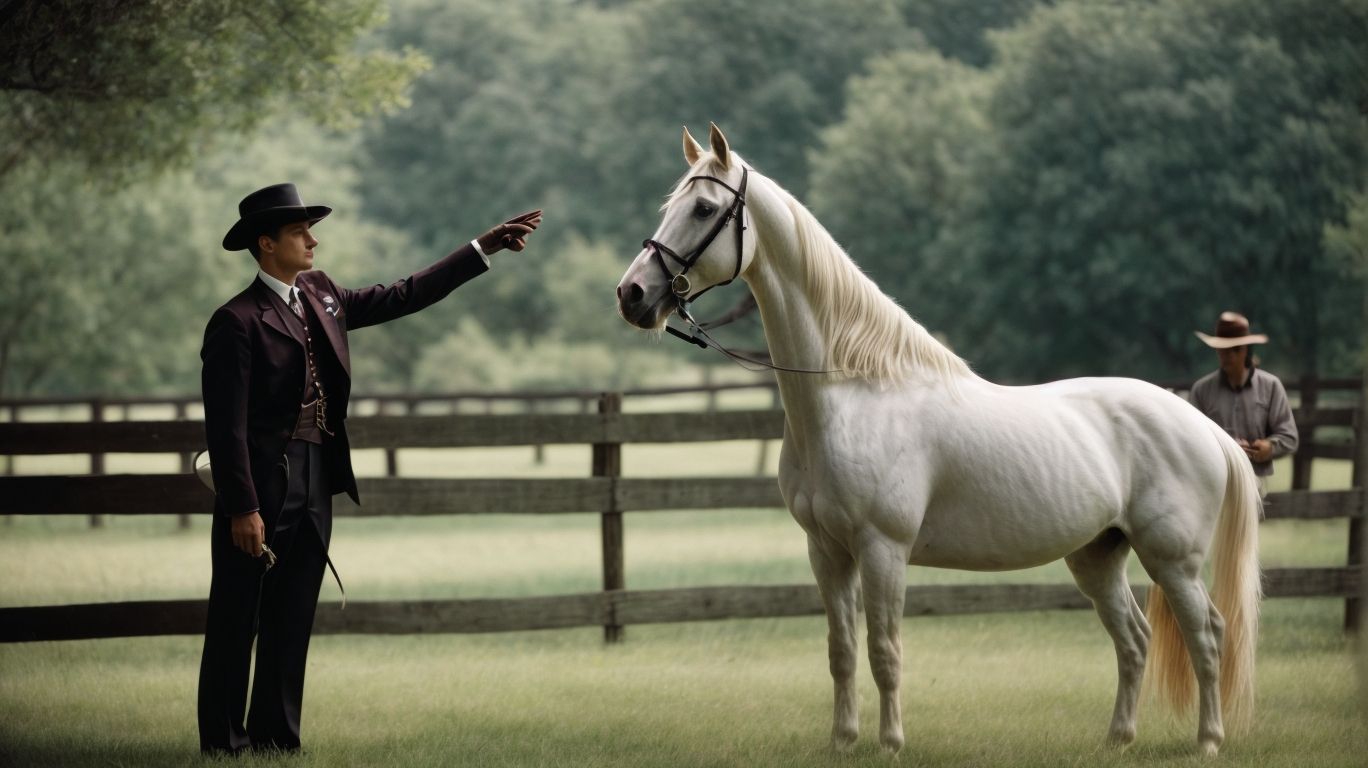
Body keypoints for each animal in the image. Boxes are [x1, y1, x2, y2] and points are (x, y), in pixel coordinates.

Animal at [615, 124, 1260, 757]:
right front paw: (843, 741)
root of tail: (1202, 426)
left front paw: (890, 744)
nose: (633, 295)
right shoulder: (827, 552)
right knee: (1135, 639)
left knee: (1207, 636)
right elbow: (842, 652)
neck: (853, 394)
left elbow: (885, 652)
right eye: (671, 205)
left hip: (1172, 559)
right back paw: (1118, 739)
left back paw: (1208, 741)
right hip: (1098, 556)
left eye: (703, 208)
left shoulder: (883, 550)